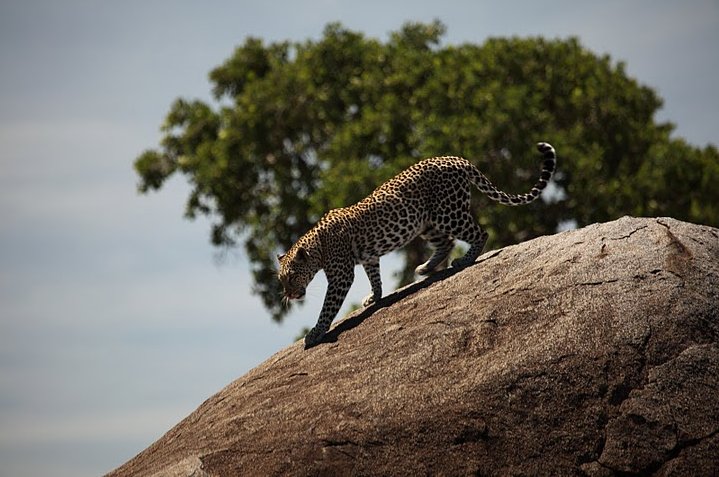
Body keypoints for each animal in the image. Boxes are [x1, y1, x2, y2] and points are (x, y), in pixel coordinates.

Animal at [278, 140, 556, 346]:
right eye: (282, 280)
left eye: (291, 277)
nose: (289, 295)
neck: (317, 246)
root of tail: (457, 159)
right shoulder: (369, 257)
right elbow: (374, 276)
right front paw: (375, 296)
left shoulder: (341, 276)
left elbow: (328, 307)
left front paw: (316, 333)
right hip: (427, 222)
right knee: (445, 242)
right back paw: (425, 268)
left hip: (448, 214)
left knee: (480, 233)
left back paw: (464, 260)